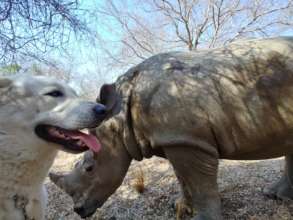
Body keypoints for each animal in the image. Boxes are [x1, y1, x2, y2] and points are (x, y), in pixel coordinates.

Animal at [50, 37, 292, 219]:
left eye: (90, 168)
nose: (79, 211)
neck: (119, 115)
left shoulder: (186, 138)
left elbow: (199, 184)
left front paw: (202, 218)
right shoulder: (173, 137)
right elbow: (183, 177)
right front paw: (180, 208)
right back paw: (275, 196)